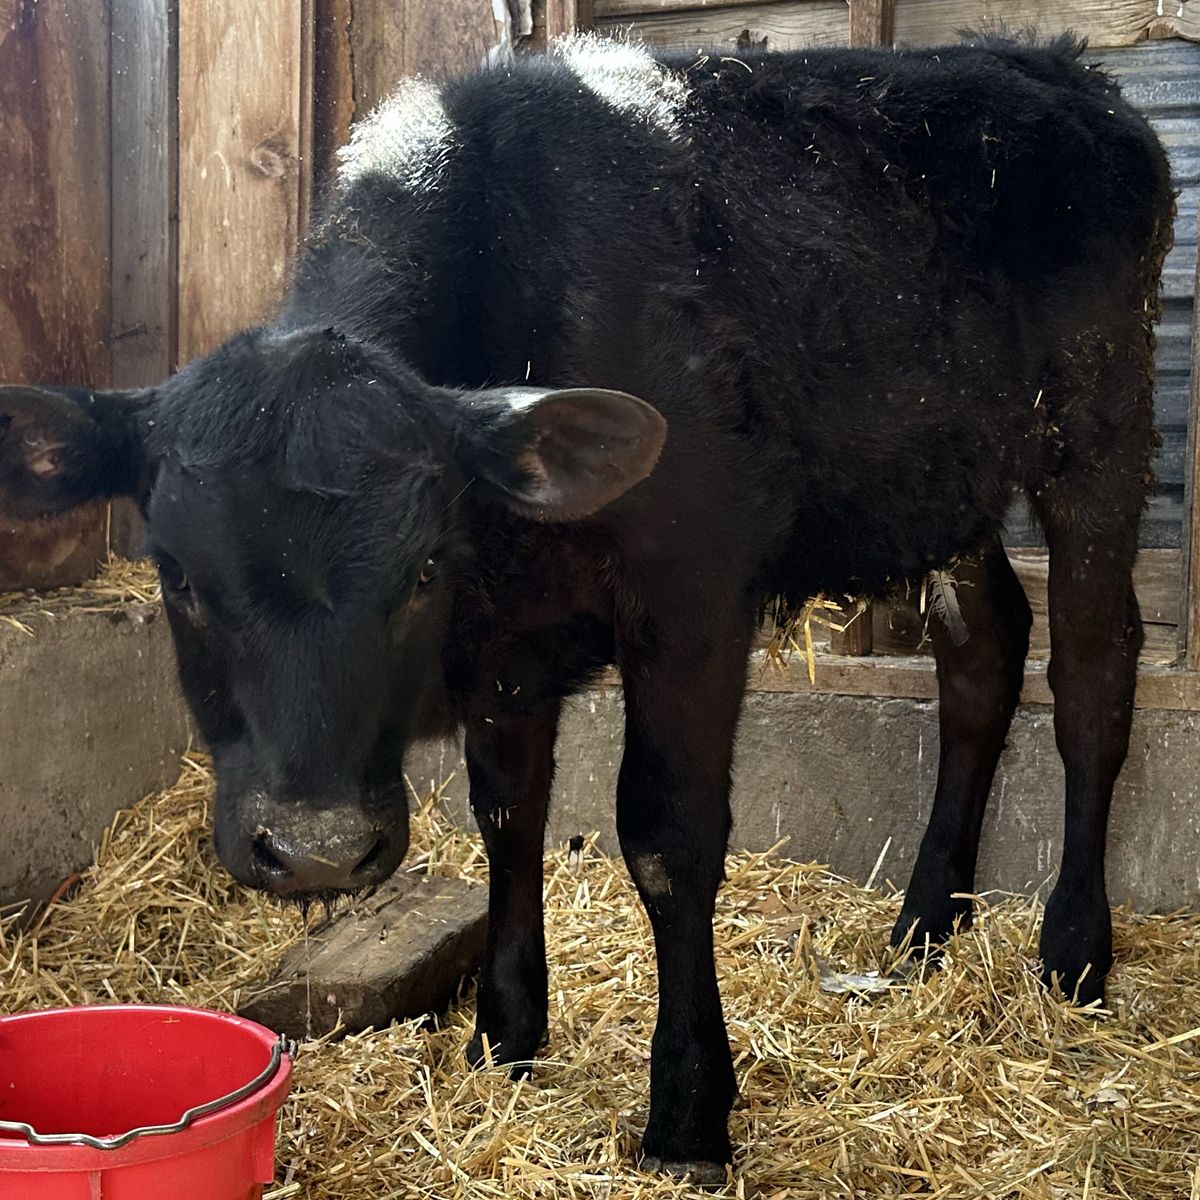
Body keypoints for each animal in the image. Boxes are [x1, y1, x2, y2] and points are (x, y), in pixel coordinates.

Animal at [0, 33, 1173, 1179]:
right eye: (179, 577)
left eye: (419, 569)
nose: (320, 849)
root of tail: (1055, 63)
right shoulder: (506, 642)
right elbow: (508, 817)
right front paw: (504, 1036)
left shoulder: (693, 593)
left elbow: (667, 838)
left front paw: (688, 1116)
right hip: (947, 474)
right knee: (982, 649)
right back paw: (927, 922)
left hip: (1097, 431)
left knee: (1094, 671)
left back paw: (1075, 949)